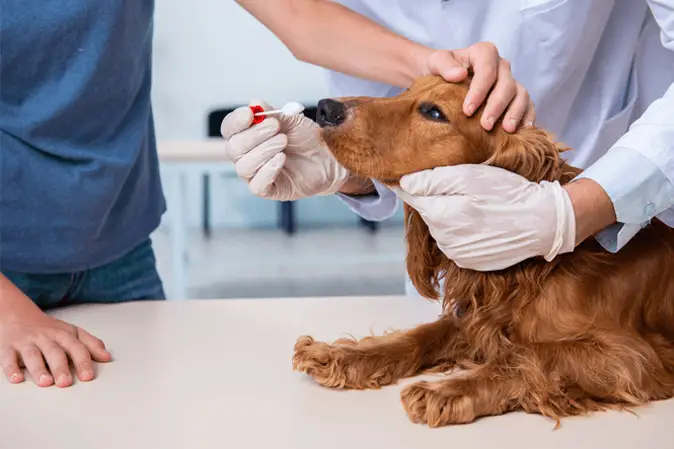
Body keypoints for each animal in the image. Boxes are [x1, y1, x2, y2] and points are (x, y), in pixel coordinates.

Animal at [288, 76, 672, 428]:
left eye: (434, 112)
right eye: (407, 90)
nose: (325, 109)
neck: (540, 269)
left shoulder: (629, 357)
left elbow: (532, 354)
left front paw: (448, 390)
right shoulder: (479, 317)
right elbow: (423, 333)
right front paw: (344, 354)